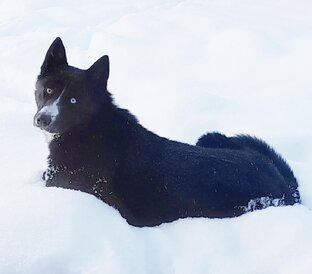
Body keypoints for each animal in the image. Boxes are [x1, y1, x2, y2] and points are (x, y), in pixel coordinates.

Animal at [33, 38, 300, 227]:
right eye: (48, 90)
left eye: (74, 100)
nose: (42, 119)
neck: (91, 130)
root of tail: (285, 185)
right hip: (210, 136)